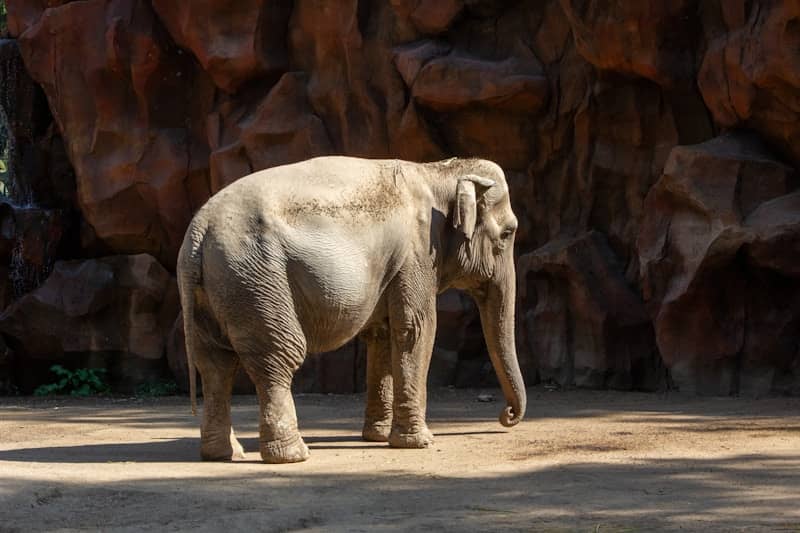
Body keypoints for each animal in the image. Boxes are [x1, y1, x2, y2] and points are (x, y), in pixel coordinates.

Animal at [176, 155, 526, 463]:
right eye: (508, 233)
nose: (506, 416)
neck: (438, 172)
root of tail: (198, 231)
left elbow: (383, 335)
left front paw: (377, 437)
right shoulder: (417, 253)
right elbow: (416, 329)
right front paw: (418, 443)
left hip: (218, 289)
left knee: (216, 365)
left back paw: (223, 454)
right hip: (258, 279)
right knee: (277, 359)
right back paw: (292, 456)